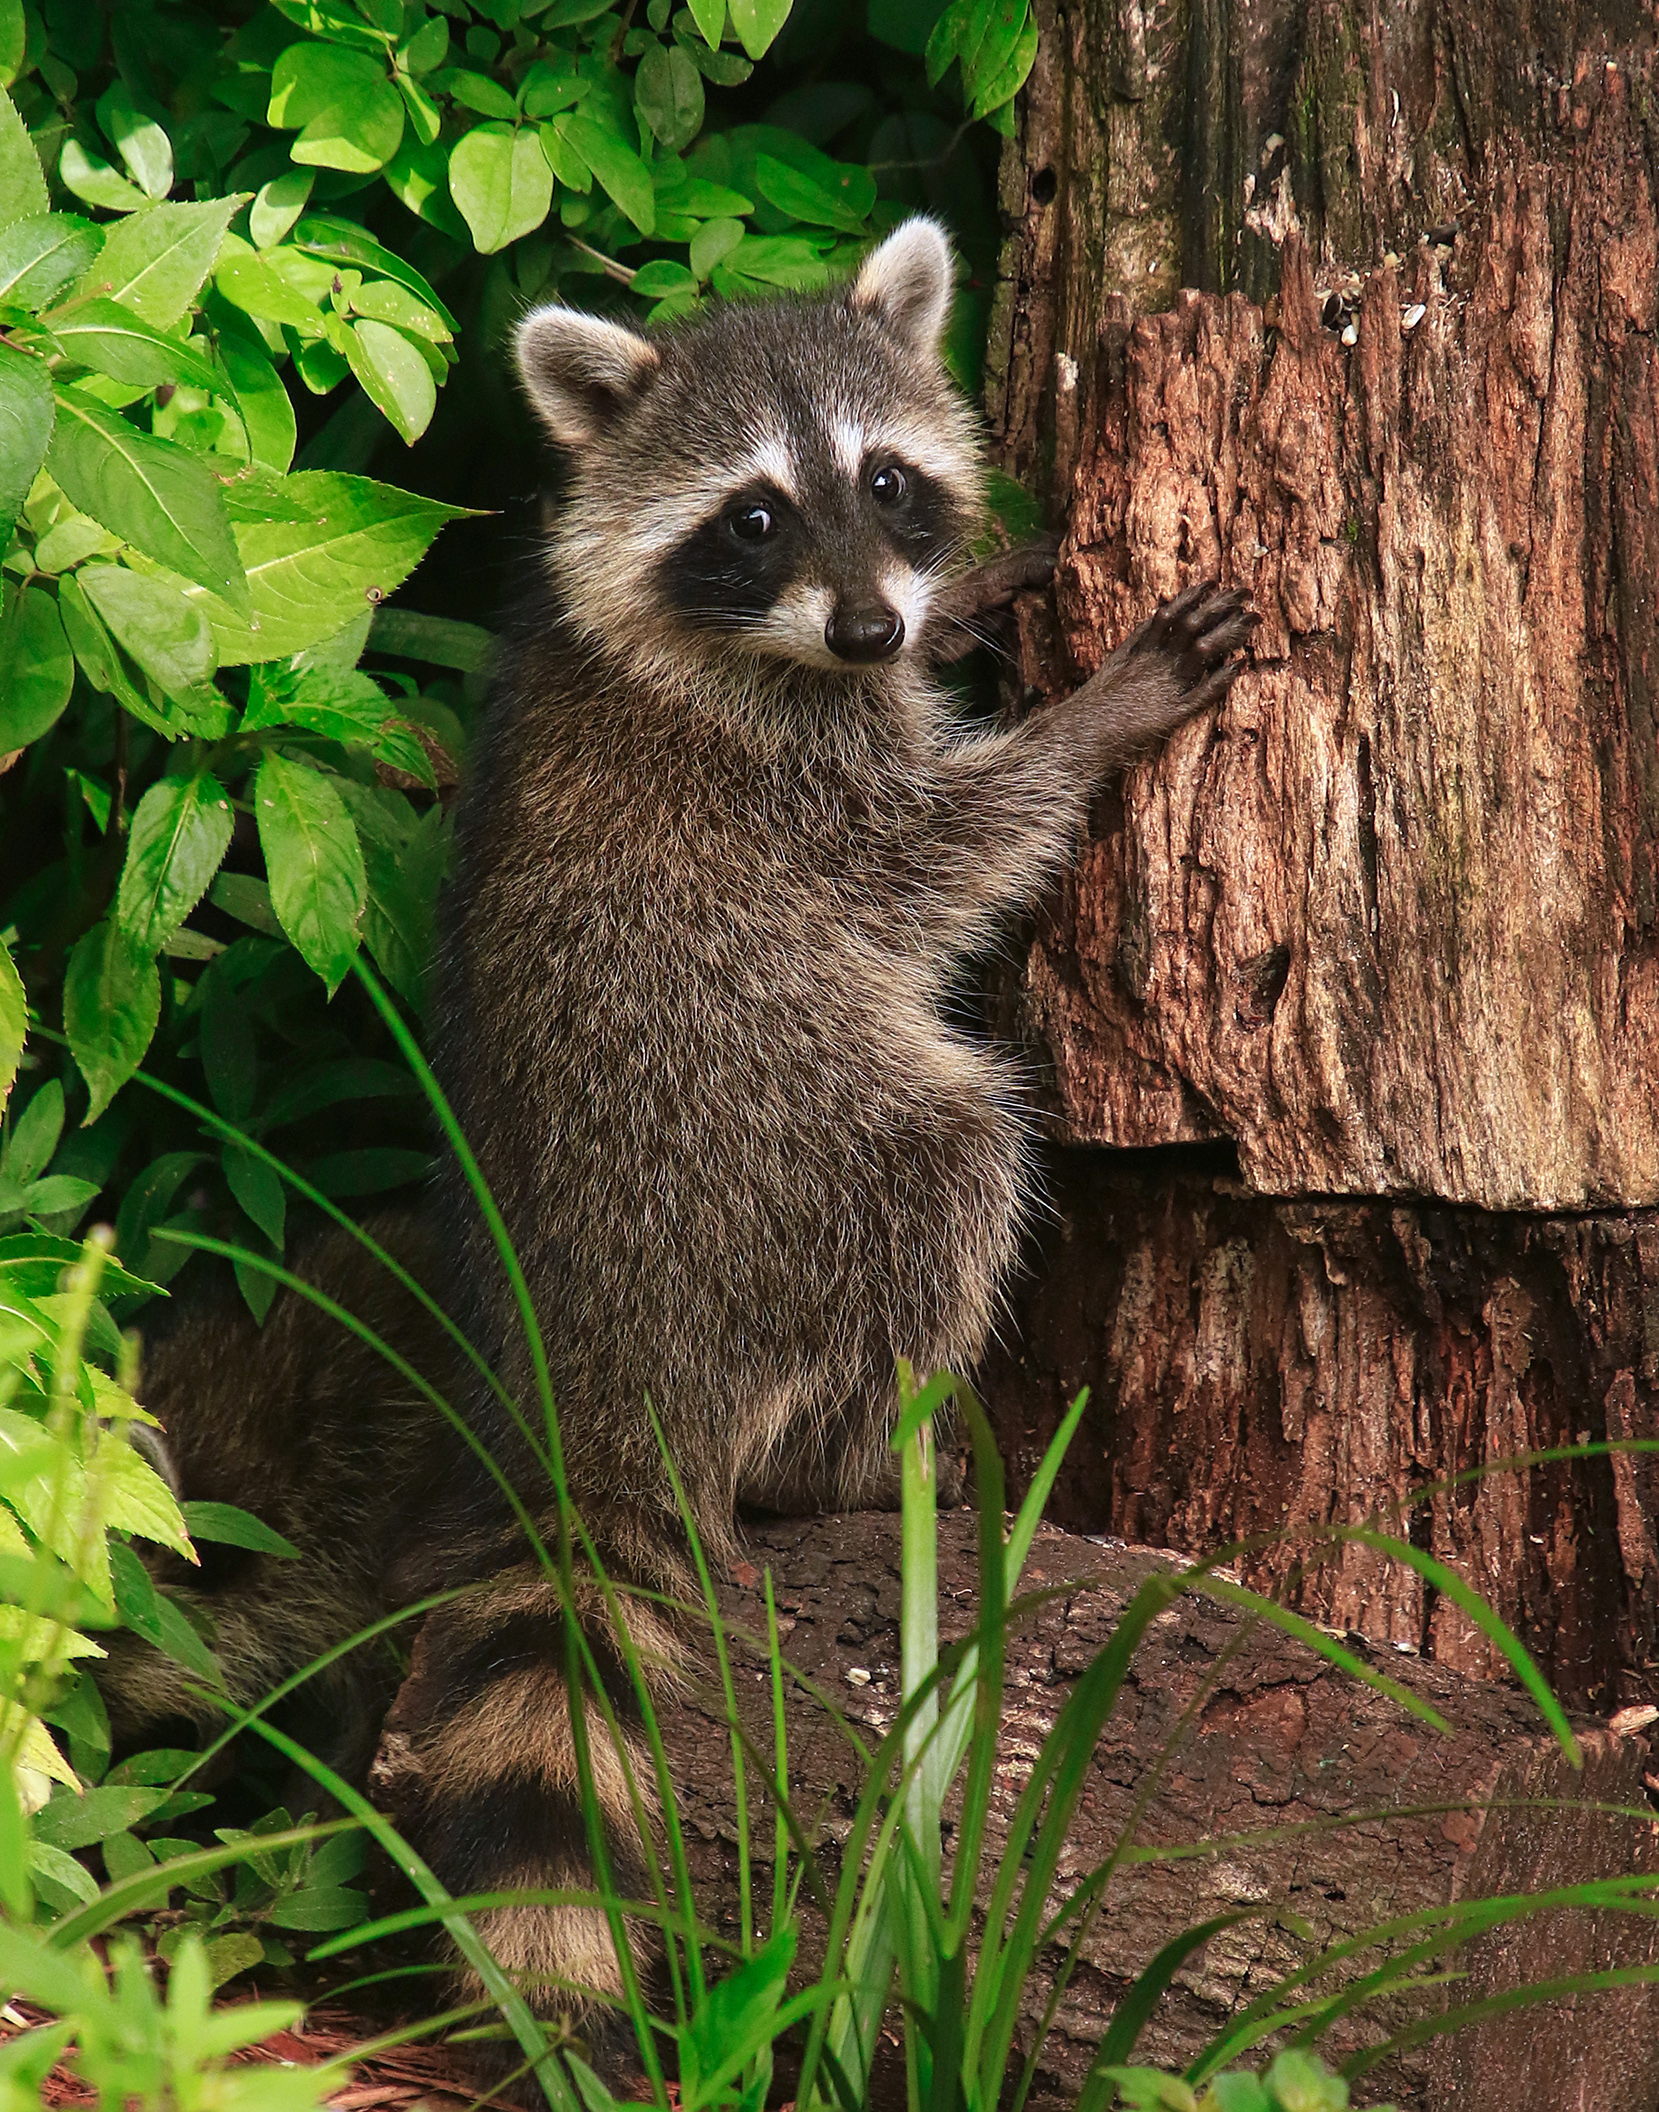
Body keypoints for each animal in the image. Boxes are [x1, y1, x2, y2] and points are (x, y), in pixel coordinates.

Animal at [108, 218, 1252, 2060]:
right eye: (754, 516)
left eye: (883, 480)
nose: (872, 624)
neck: (772, 652)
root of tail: (593, 1351)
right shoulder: (786, 788)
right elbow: (947, 851)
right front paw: (1099, 716)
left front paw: (982, 592)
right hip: (772, 1150)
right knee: (947, 1158)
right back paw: (862, 1446)